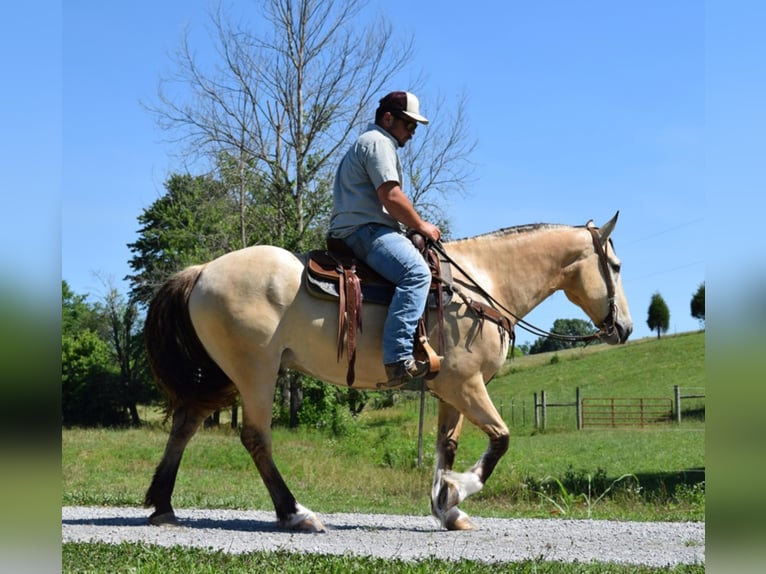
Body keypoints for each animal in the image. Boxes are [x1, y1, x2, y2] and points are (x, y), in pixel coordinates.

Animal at [141, 214, 632, 532]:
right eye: (616, 266)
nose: (624, 328)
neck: (481, 286)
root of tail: (203, 271)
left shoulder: (449, 390)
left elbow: (446, 446)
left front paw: (446, 507)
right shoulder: (466, 383)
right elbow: (501, 439)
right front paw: (458, 490)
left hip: (225, 377)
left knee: (184, 425)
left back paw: (163, 507)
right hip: (255, 372)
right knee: (255, 439)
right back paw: (295, 513)